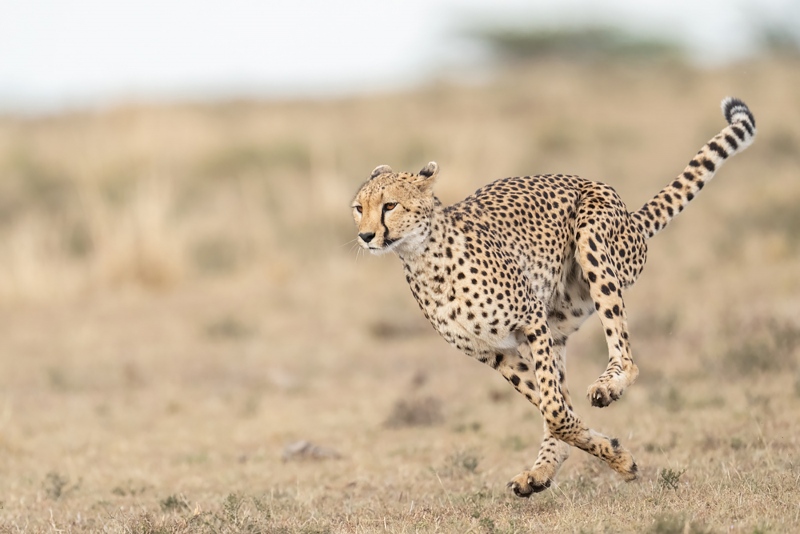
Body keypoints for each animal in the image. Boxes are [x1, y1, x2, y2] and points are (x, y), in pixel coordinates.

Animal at [350, 99, 756, 498]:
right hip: (559, 322)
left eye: (390, 206)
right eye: (358, 208)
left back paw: (608, 386)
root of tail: (630, 218)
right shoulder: (495, 352)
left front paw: (615, 455)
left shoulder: (530, 319)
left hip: (593, 241)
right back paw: (541, 471)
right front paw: (612, 453)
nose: (366, 236)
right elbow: (555, 407)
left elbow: (556, 411)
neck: (422, 257)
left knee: (624, 355)